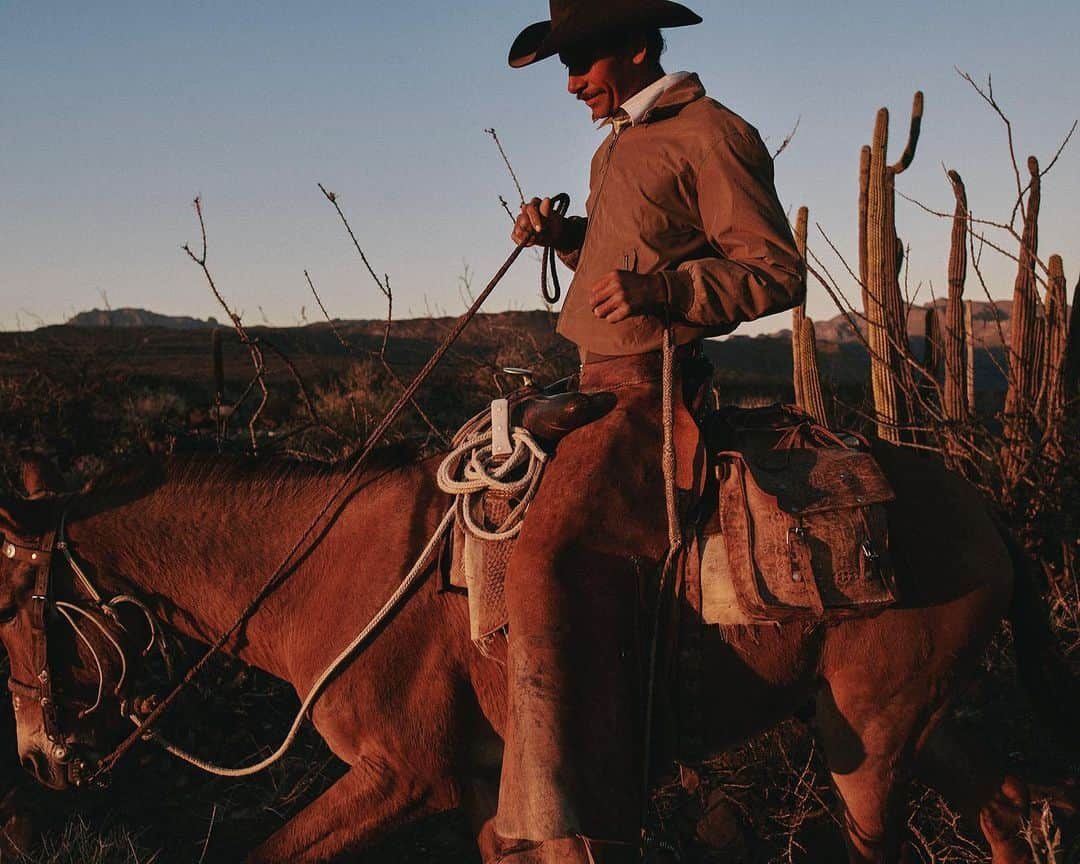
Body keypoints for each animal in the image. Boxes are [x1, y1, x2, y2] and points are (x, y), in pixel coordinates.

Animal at [0, 444, 1075, 864]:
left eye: (16, 610)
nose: (42, 761)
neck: (330, 582)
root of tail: (983, 515)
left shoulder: (404, 778)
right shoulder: (487, 790)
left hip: (874, 748)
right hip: (913, 725)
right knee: (1009, 807)